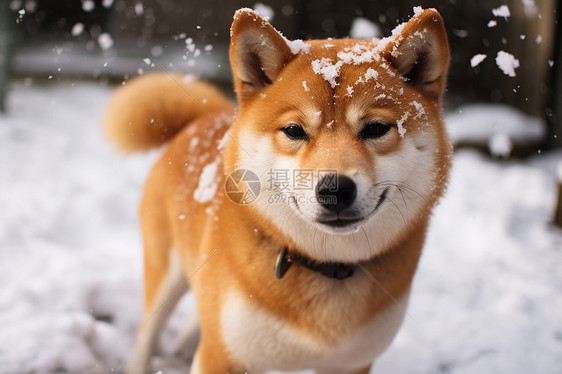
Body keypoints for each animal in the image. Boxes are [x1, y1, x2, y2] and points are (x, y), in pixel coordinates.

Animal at [106, 6, 450, 374]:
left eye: (375, 128)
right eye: (294, 130)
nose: (335, 189)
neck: (325, 264)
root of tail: (200, 121)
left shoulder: (351, 363)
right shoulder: (222, 356)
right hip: (165, 271)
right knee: (148, 331)